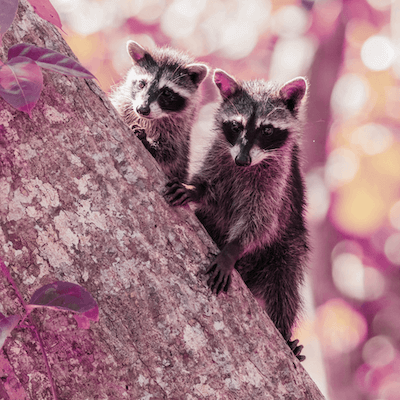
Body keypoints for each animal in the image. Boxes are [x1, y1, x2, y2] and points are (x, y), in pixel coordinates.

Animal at [109, 39, 209, 180]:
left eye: (166, 92)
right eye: (141, 84)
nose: (142, 109)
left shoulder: (178, 131)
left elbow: (171, 154)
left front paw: (149, 144)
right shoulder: (124, 105)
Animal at [166, 69, 310, 362]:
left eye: (267, 130)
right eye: (236, 126)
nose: (242, 161)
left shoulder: (276, 181)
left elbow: (261, 220)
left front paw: (233, 248)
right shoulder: (219, 155)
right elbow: (209, 186)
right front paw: (194, 190)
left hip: (287, 248)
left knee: (284, 286)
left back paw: (284, 332)